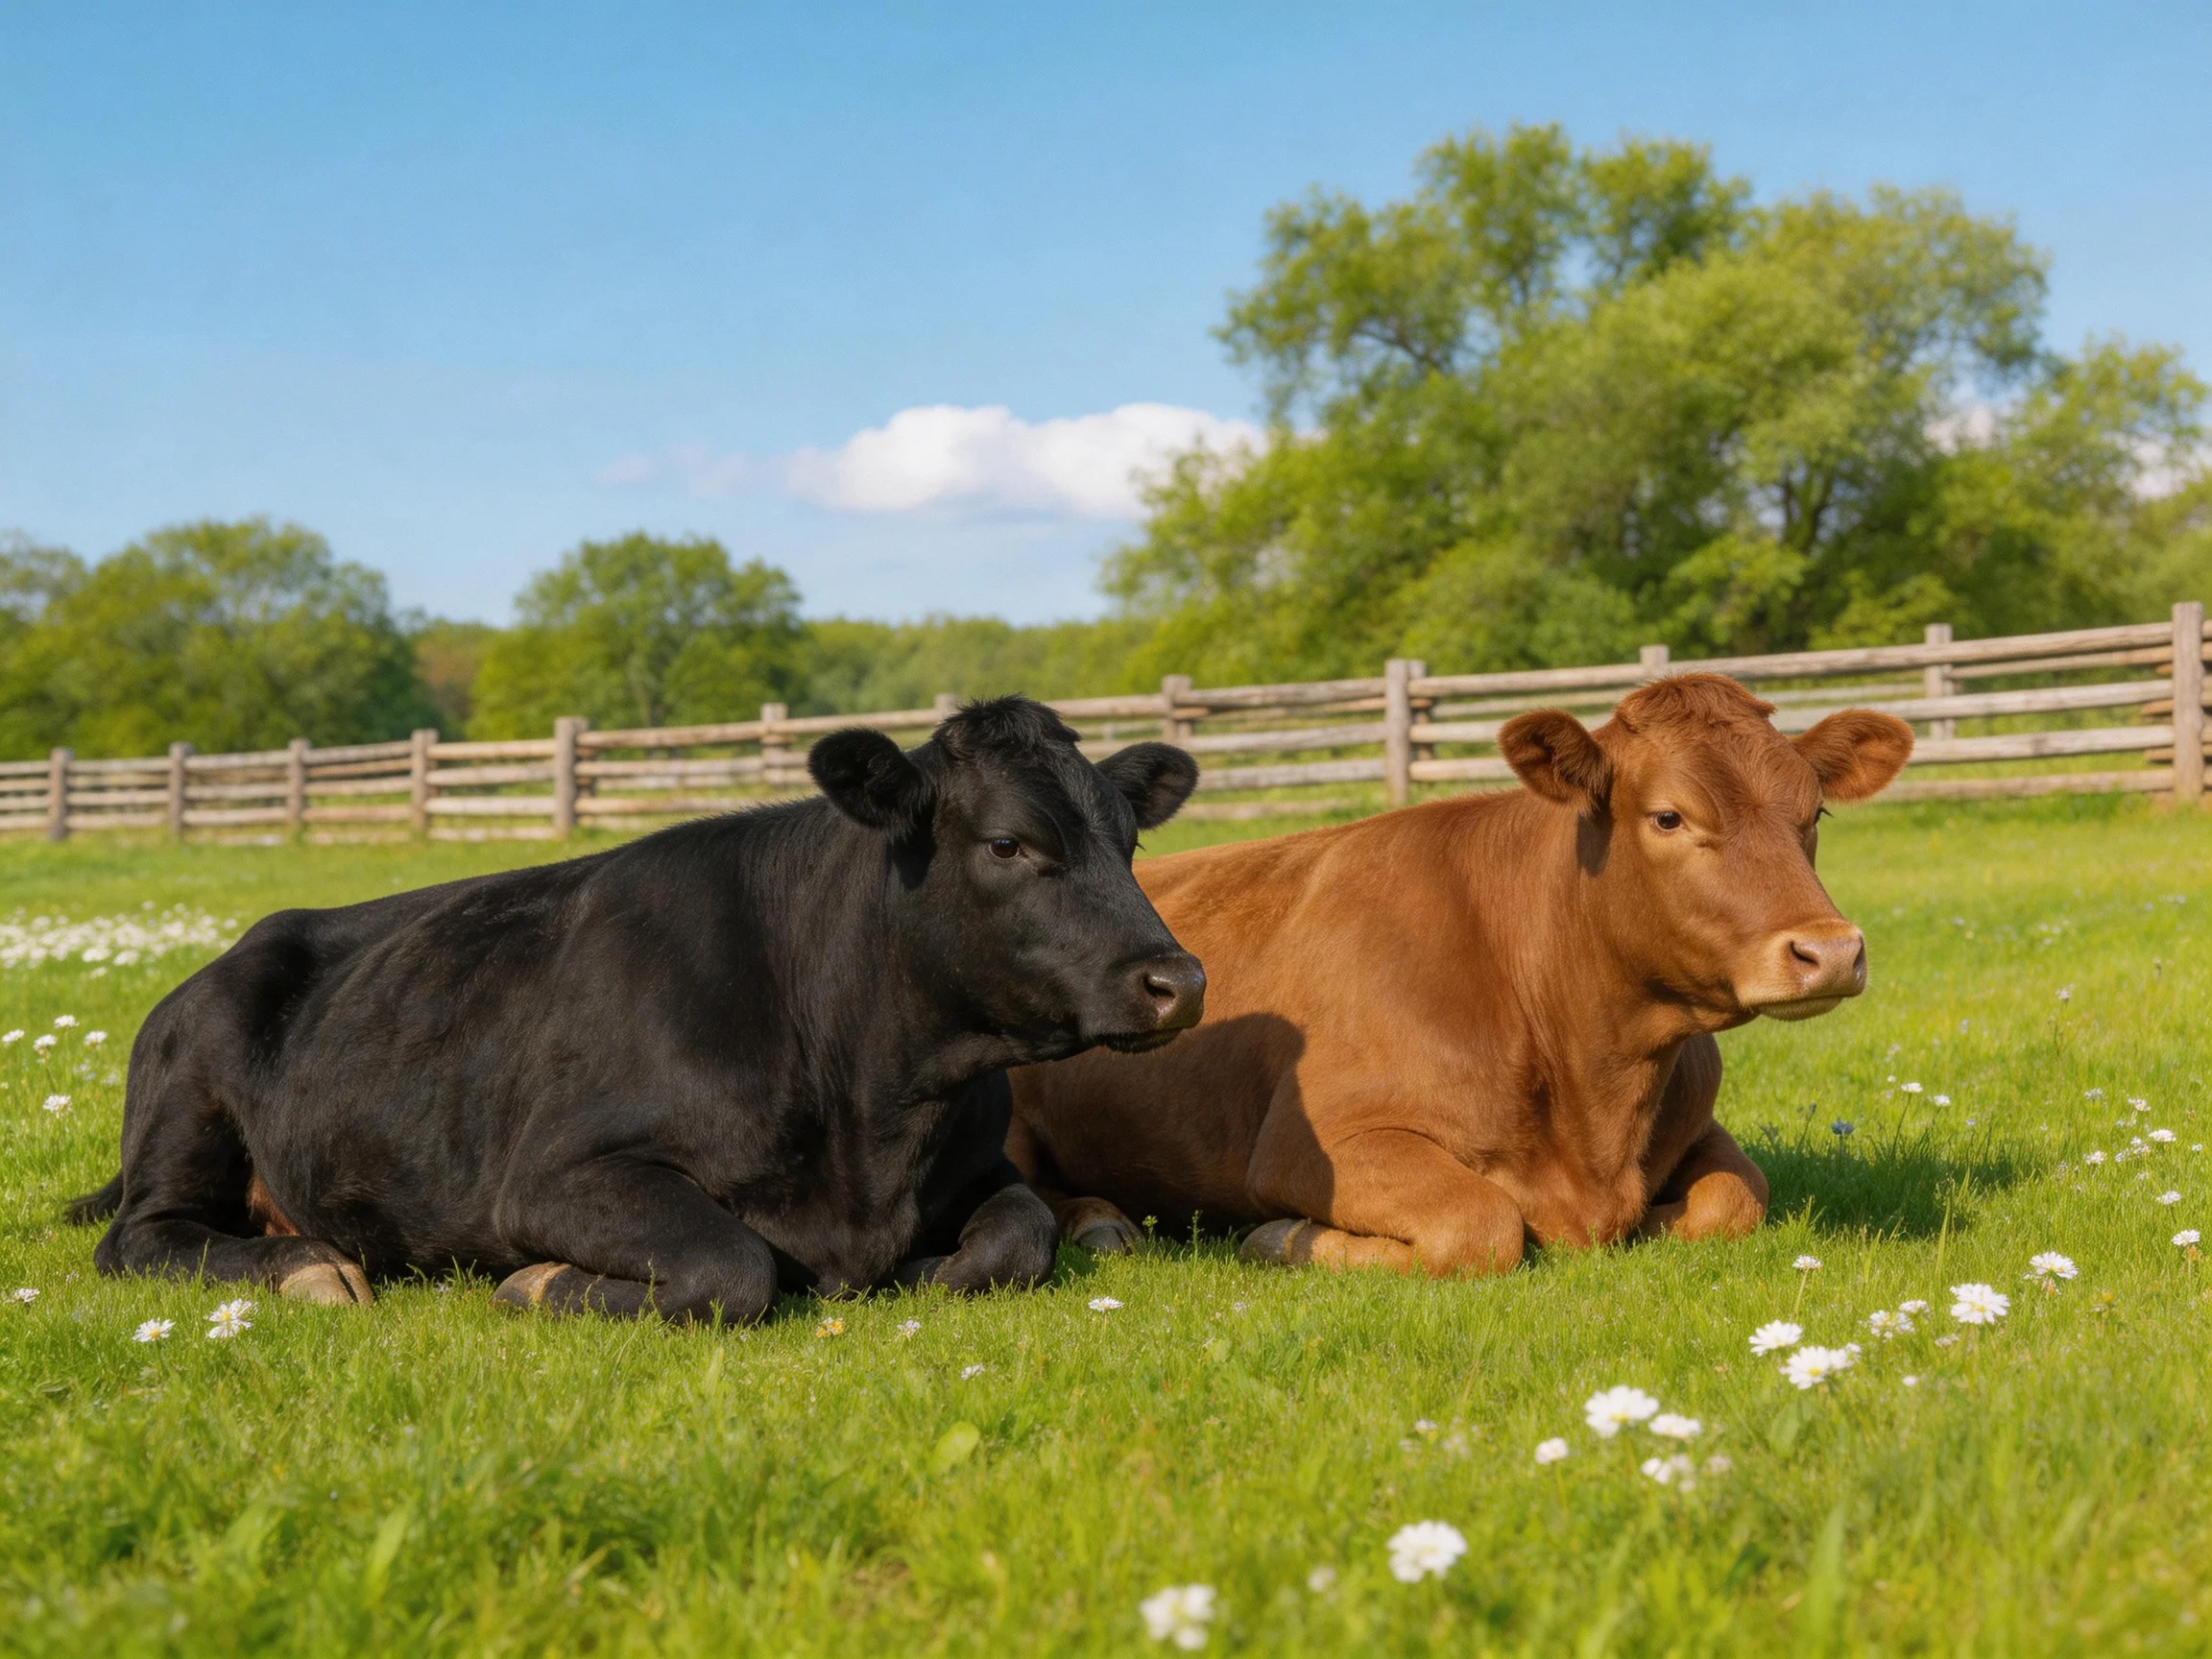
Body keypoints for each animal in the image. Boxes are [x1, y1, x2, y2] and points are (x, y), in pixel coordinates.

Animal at [68, 697, 1206, 1323]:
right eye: (1008, 843)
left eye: (1129, 840)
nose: (1179, 981)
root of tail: (235, 948)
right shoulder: (554, 1177)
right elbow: (730, 1266)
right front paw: (536, 1285)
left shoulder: (981, 1163)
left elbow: (1016, 1241)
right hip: (191, 1100)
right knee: (141, 1238)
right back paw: (308, 1267)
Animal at [1007, 674, 1914, 1275]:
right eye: (1667, 816)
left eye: (1815, 813)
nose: (1830, 951)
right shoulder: (1320, 1142)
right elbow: (1481, 1225)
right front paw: (1281, 1239)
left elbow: (1736, 1199)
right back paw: (1100, 1224)